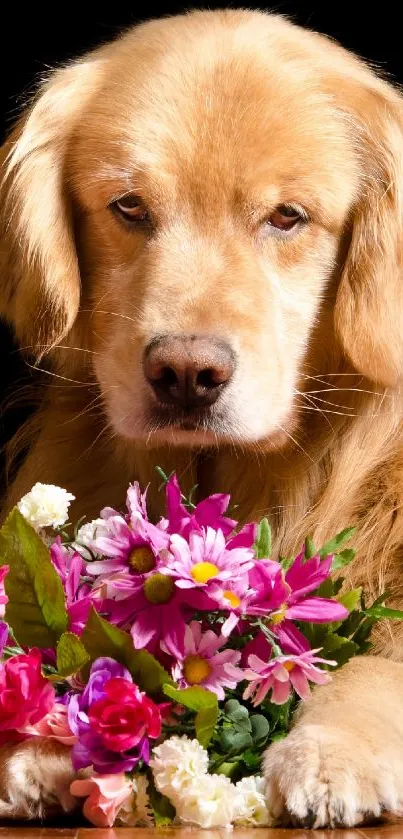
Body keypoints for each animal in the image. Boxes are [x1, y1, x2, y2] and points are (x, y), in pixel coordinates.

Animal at [0, 8, 403, 828]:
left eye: (287, 217)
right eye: (129, 207)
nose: (186, 375)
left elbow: (378, 663)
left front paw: (332, 747)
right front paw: (48, 737)